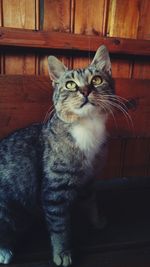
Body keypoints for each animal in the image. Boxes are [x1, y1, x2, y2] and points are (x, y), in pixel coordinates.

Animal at [0, 45, 114, 266]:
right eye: (70, 85)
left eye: (96, 79)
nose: (85, 90)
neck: (87, 126)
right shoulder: (54, 191)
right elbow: (60, 226)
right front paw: (62, 252)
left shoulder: (89, 178)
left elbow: (91, 201)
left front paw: (96, 221)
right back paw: (4, 249)